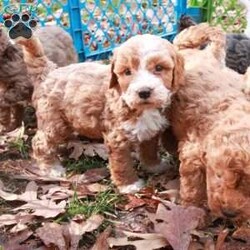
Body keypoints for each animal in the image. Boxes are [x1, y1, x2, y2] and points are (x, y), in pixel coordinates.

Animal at [20, 33, 185, 193]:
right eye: (127, 72)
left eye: (159, 68)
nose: (143, 92)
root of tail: (48, 71)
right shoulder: (116, 137)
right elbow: (122, 163)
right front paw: (129, 185)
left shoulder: (150, 132)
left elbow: (149, 150)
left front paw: (154, 166)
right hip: (54, 122)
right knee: (40, 142)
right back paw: (51, 167)